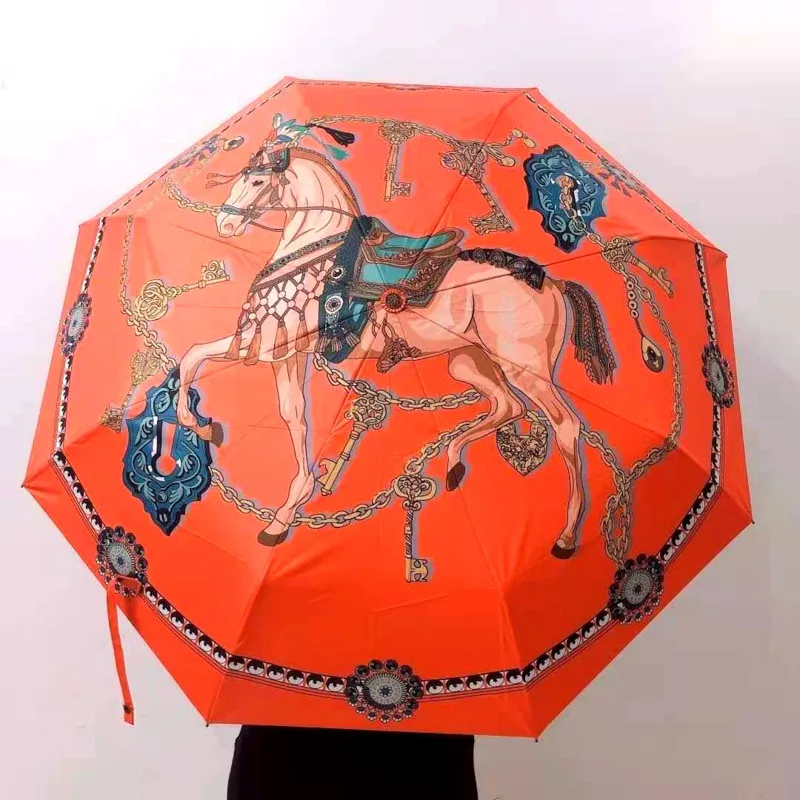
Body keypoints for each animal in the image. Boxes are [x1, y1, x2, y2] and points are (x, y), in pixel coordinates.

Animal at [175, 143, 616, 559]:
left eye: (256, 181)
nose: (225, 223)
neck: (318, 250)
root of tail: (554, 284)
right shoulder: (284, 351)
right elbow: (286, 411)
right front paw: (284, 504)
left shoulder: (276, 342)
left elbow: (198, 360)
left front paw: (209, 432)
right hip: (468, 361)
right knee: (509, 406)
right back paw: (454, 463)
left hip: (524, 367)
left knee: (565, 426)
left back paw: (566, 536)